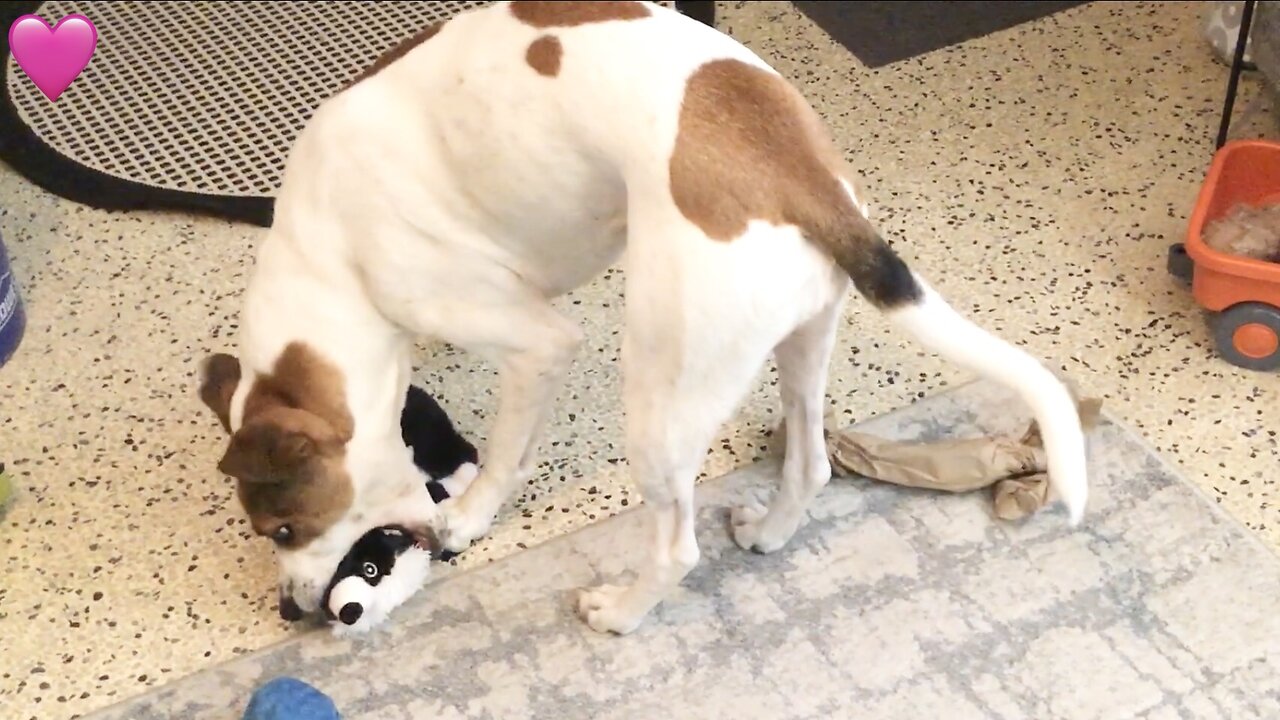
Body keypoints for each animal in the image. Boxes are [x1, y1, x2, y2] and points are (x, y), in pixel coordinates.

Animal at [194, 2, 1085, 635]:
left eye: (281, 530)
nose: (291, 612)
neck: (329, 254)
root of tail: (797, 173)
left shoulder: (536, 344)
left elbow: (503, 458)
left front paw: (466, 519)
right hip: (800, 346)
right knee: (811, 464)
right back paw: (769, 531)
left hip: (659, 406)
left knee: (676, 545)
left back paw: (620, 613)